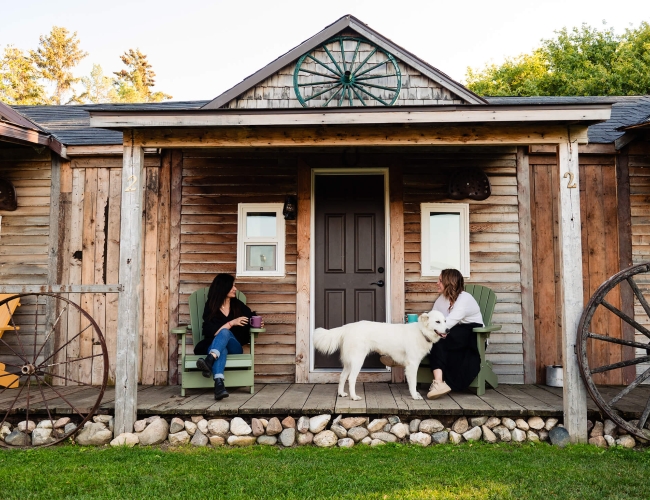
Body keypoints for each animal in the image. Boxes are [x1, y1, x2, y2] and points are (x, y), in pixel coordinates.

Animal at [312, 312, 446, 402]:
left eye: (444, 321)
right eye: (437, 322)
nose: (448, 330)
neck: (421, 331)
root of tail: (348, 327)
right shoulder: (412, 364)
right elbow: (413, 383)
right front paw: (414, 396)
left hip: (349, 362)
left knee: (342, 376)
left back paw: (341, 393)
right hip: (357, 360)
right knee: (351, 378)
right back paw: (354, 397)